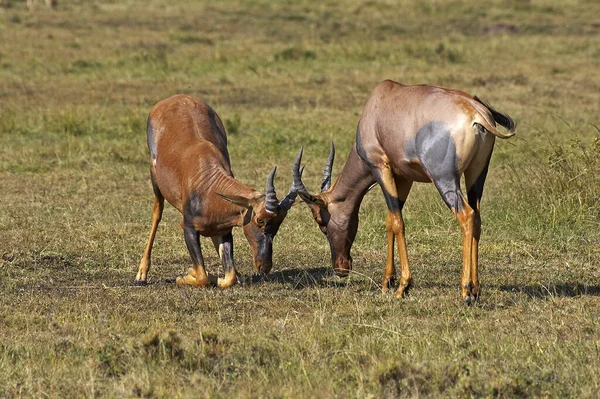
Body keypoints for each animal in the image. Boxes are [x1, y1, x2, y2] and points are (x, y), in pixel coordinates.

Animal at [136, 95, 300, 290]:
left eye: (279, 223)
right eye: (259, 219)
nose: (264, 266)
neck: (208, 181)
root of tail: (175, 98)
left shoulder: (225, 231)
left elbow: (228, 277)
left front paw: (228, 276)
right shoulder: (188, 228)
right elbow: (202, 276)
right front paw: (186, 275)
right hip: (154, 176)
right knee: (157, 214)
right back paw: (141, 275)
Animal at [296, 82, 516, 306]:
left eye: (320, 221)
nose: (341, 268)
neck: (380, 101)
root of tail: (476, 113)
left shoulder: (380, 166)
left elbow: (397, 222)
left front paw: (403, 286)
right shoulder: (404, 177)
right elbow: (390, 220)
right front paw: (387, 281)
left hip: (443, 178)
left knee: (466, 215)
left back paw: (466, 292)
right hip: (477, 175)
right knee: (477, 217)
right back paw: (476, 289)